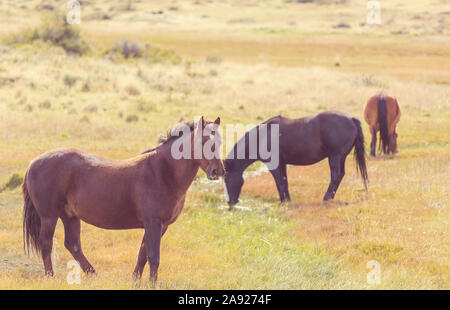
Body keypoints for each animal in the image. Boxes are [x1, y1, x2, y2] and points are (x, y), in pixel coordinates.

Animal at [22, 116, 223, 284]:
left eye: (219, 141)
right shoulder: (153, 223)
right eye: (204, 141)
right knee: (46, 243)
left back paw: (93, 274)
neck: (163, 172)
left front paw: (135, 280)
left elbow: (143, 254)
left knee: (73, 244)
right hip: (49, 216)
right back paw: (51, 277)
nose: (217, 171)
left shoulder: (159, 226)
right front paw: (153, 284)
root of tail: (33, 163)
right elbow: (153, 257)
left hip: (70, 216)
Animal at [223, 111, 368, 206]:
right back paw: (330, 198)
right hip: (340, 157)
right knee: (340, 175)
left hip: (335, 157)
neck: (263, 137)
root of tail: (351, 119)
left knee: (335, 176)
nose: (230, 202)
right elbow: (284, 181)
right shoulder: (282, 164)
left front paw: (283, 202)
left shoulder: (274, 165)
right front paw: (288, 200)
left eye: (226, 179)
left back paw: (326, 198)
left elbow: (279, 182)